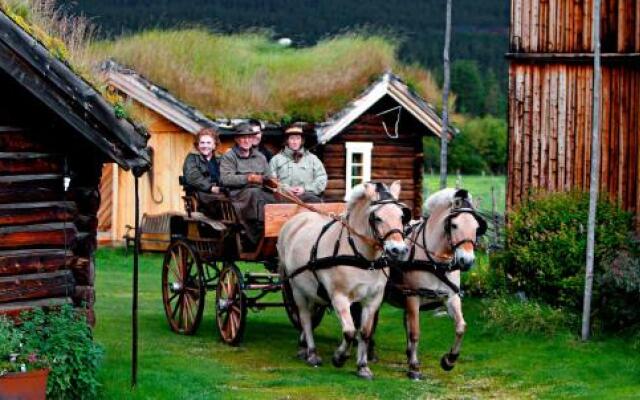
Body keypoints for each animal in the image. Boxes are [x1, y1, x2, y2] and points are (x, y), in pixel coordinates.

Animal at [278, 181, 410, 378]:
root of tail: (296, 220)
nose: (398, 250)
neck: (362, 257)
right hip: (297, 289)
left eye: (402, 216)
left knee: (310, 315)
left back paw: (303, 347)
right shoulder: (339, 297)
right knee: (305, 318)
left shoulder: (373, 299)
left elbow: (364, 332)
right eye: (377, 218)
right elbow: (349, 331)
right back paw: (312, 353)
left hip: (311, 291)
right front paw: (339, 357)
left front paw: (363, 366)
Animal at [382, 189, 488, 380]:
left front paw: (449, 360)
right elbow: (415, 332)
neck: (436, 262)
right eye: (454, 225)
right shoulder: (413, 296)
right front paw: (414, 368)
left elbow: (461, 327)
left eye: (477, 228)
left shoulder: (451, 297)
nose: (466, 261)